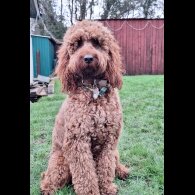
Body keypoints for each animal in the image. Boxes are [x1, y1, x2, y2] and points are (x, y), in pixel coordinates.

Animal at [40, 20, 129, 195]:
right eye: (78, 44)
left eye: (96, 42)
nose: (88, 58)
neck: (93, 90)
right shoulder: (77, 142)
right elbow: (85, 174)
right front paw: (91, 191)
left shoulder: (110, 141)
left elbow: (106, 167)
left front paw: (107, 188)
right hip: (60, 162)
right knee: (47, 181)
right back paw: (47, 188)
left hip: (114, 151)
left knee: (115, 162)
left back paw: (123, 171)